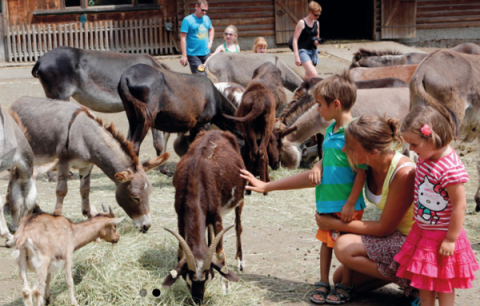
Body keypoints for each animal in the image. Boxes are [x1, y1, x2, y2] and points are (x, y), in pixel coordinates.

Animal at [163, 131, 246, 304]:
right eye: (189, 279)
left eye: (207, 279)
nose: (198, 301)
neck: (196, 177)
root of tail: (217, 131)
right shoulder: (180, 217)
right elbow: (180, 251)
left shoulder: (217, 217)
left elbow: (220, 254)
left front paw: (226, 287)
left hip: (240, 198)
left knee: (238, 226)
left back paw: (240, 261)